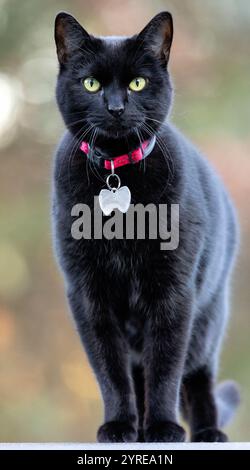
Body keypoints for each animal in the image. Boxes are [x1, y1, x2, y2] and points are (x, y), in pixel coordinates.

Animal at [52, 12, 240, 442]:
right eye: (91, 84)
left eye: (137, 83)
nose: (116, 107)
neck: (118, 174)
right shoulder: (88, 295)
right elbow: (110, 370)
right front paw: (120, 425)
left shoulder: (173, 292)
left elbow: (166, 369)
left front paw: (164, 427)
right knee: (137, 373)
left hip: (208, 320)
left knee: (198, 378)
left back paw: (207, 431)